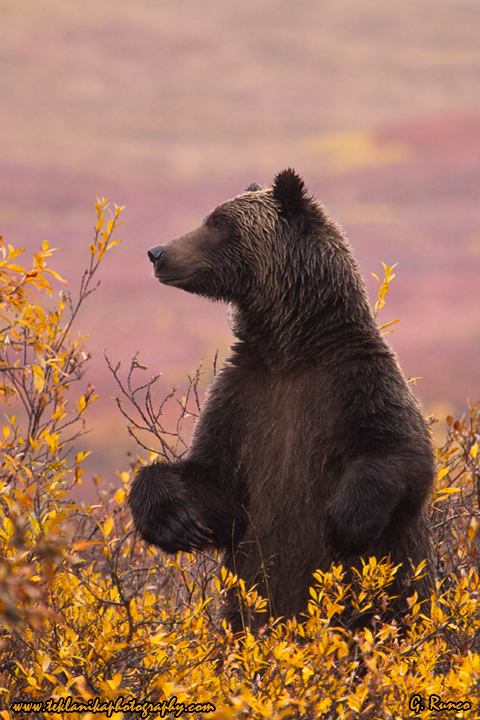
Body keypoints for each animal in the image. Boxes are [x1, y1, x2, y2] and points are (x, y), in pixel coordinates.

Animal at [129, 169, 435, 632]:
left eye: (217, 223)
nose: (157, 252)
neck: (291, 350)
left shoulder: (356, 379)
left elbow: (402, 452)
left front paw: (346, 522)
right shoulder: (246, 395)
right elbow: (214, 480)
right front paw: (177, 521)